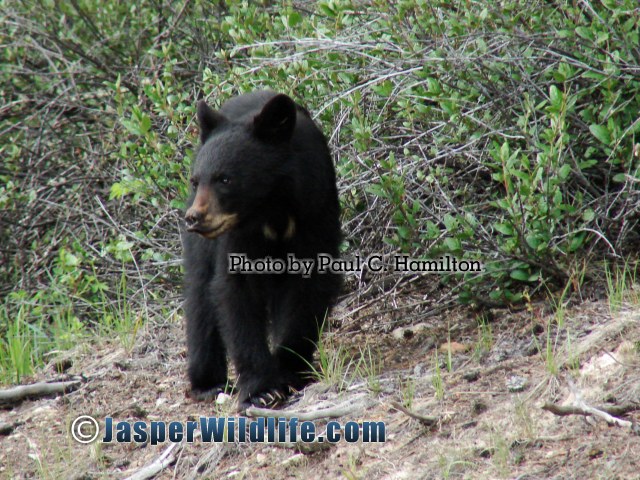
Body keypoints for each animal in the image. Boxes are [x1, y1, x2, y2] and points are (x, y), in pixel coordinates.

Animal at [182, 90, 342, 409]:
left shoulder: (316, 213)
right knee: (200, 298)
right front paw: (261, 390)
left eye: (225, 178)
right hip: (201, 247)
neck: (273, 210)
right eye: (196, 181)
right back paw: (208, 382)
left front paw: (290, 369)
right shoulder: (237, 237)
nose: (194, 218)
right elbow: (235, 292)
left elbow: (308, 292)